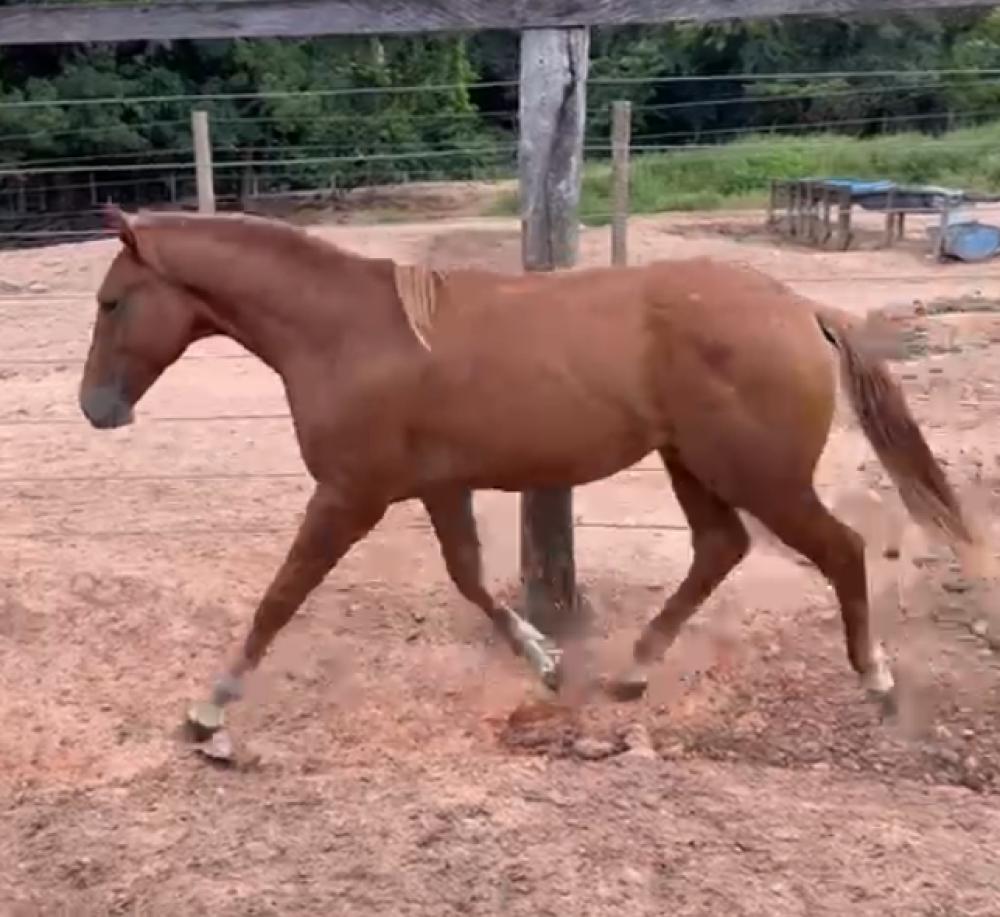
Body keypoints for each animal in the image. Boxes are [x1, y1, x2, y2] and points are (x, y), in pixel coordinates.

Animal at [80, 206, 975, 743]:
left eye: (113, 302)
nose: (95, 407)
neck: (344, 333)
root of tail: (804, 309)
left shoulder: (348, 496)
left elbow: (281, 594)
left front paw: (209, 707)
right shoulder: (437, 486)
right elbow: (471, 578)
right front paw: (545, 661)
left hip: (761, 475)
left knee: (839, 548)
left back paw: (878, 681)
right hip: (692, 463)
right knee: (718, 549)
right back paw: (629, 672)